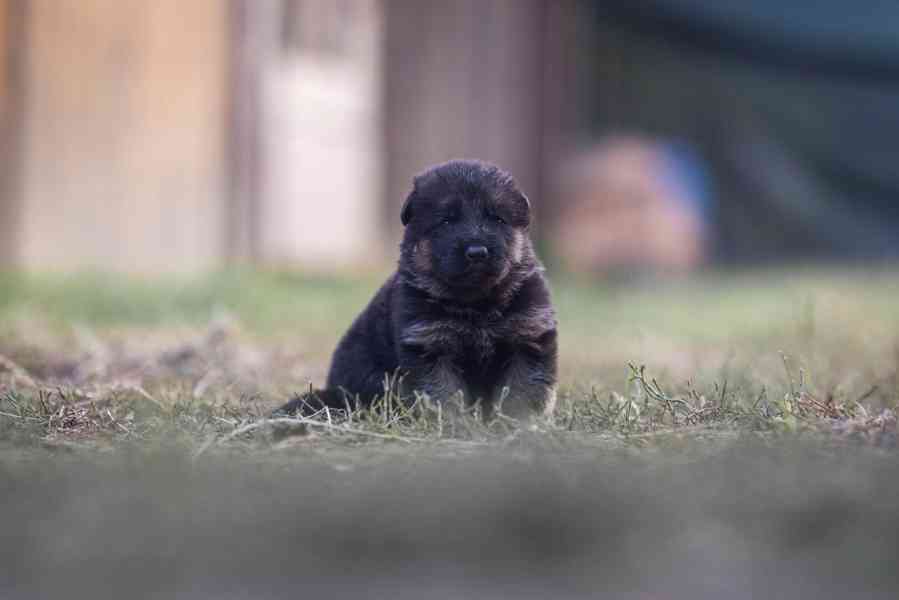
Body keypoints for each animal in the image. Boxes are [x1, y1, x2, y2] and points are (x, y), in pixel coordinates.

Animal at [276, 162, 556, 420]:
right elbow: (443, 393)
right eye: (446, 220)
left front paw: (515, 423)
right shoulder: (429, 346)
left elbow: (521, 389)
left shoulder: (527, 337)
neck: (476, 303)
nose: (477, 252)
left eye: (497, 218)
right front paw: (455, 425)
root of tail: (335, 392)